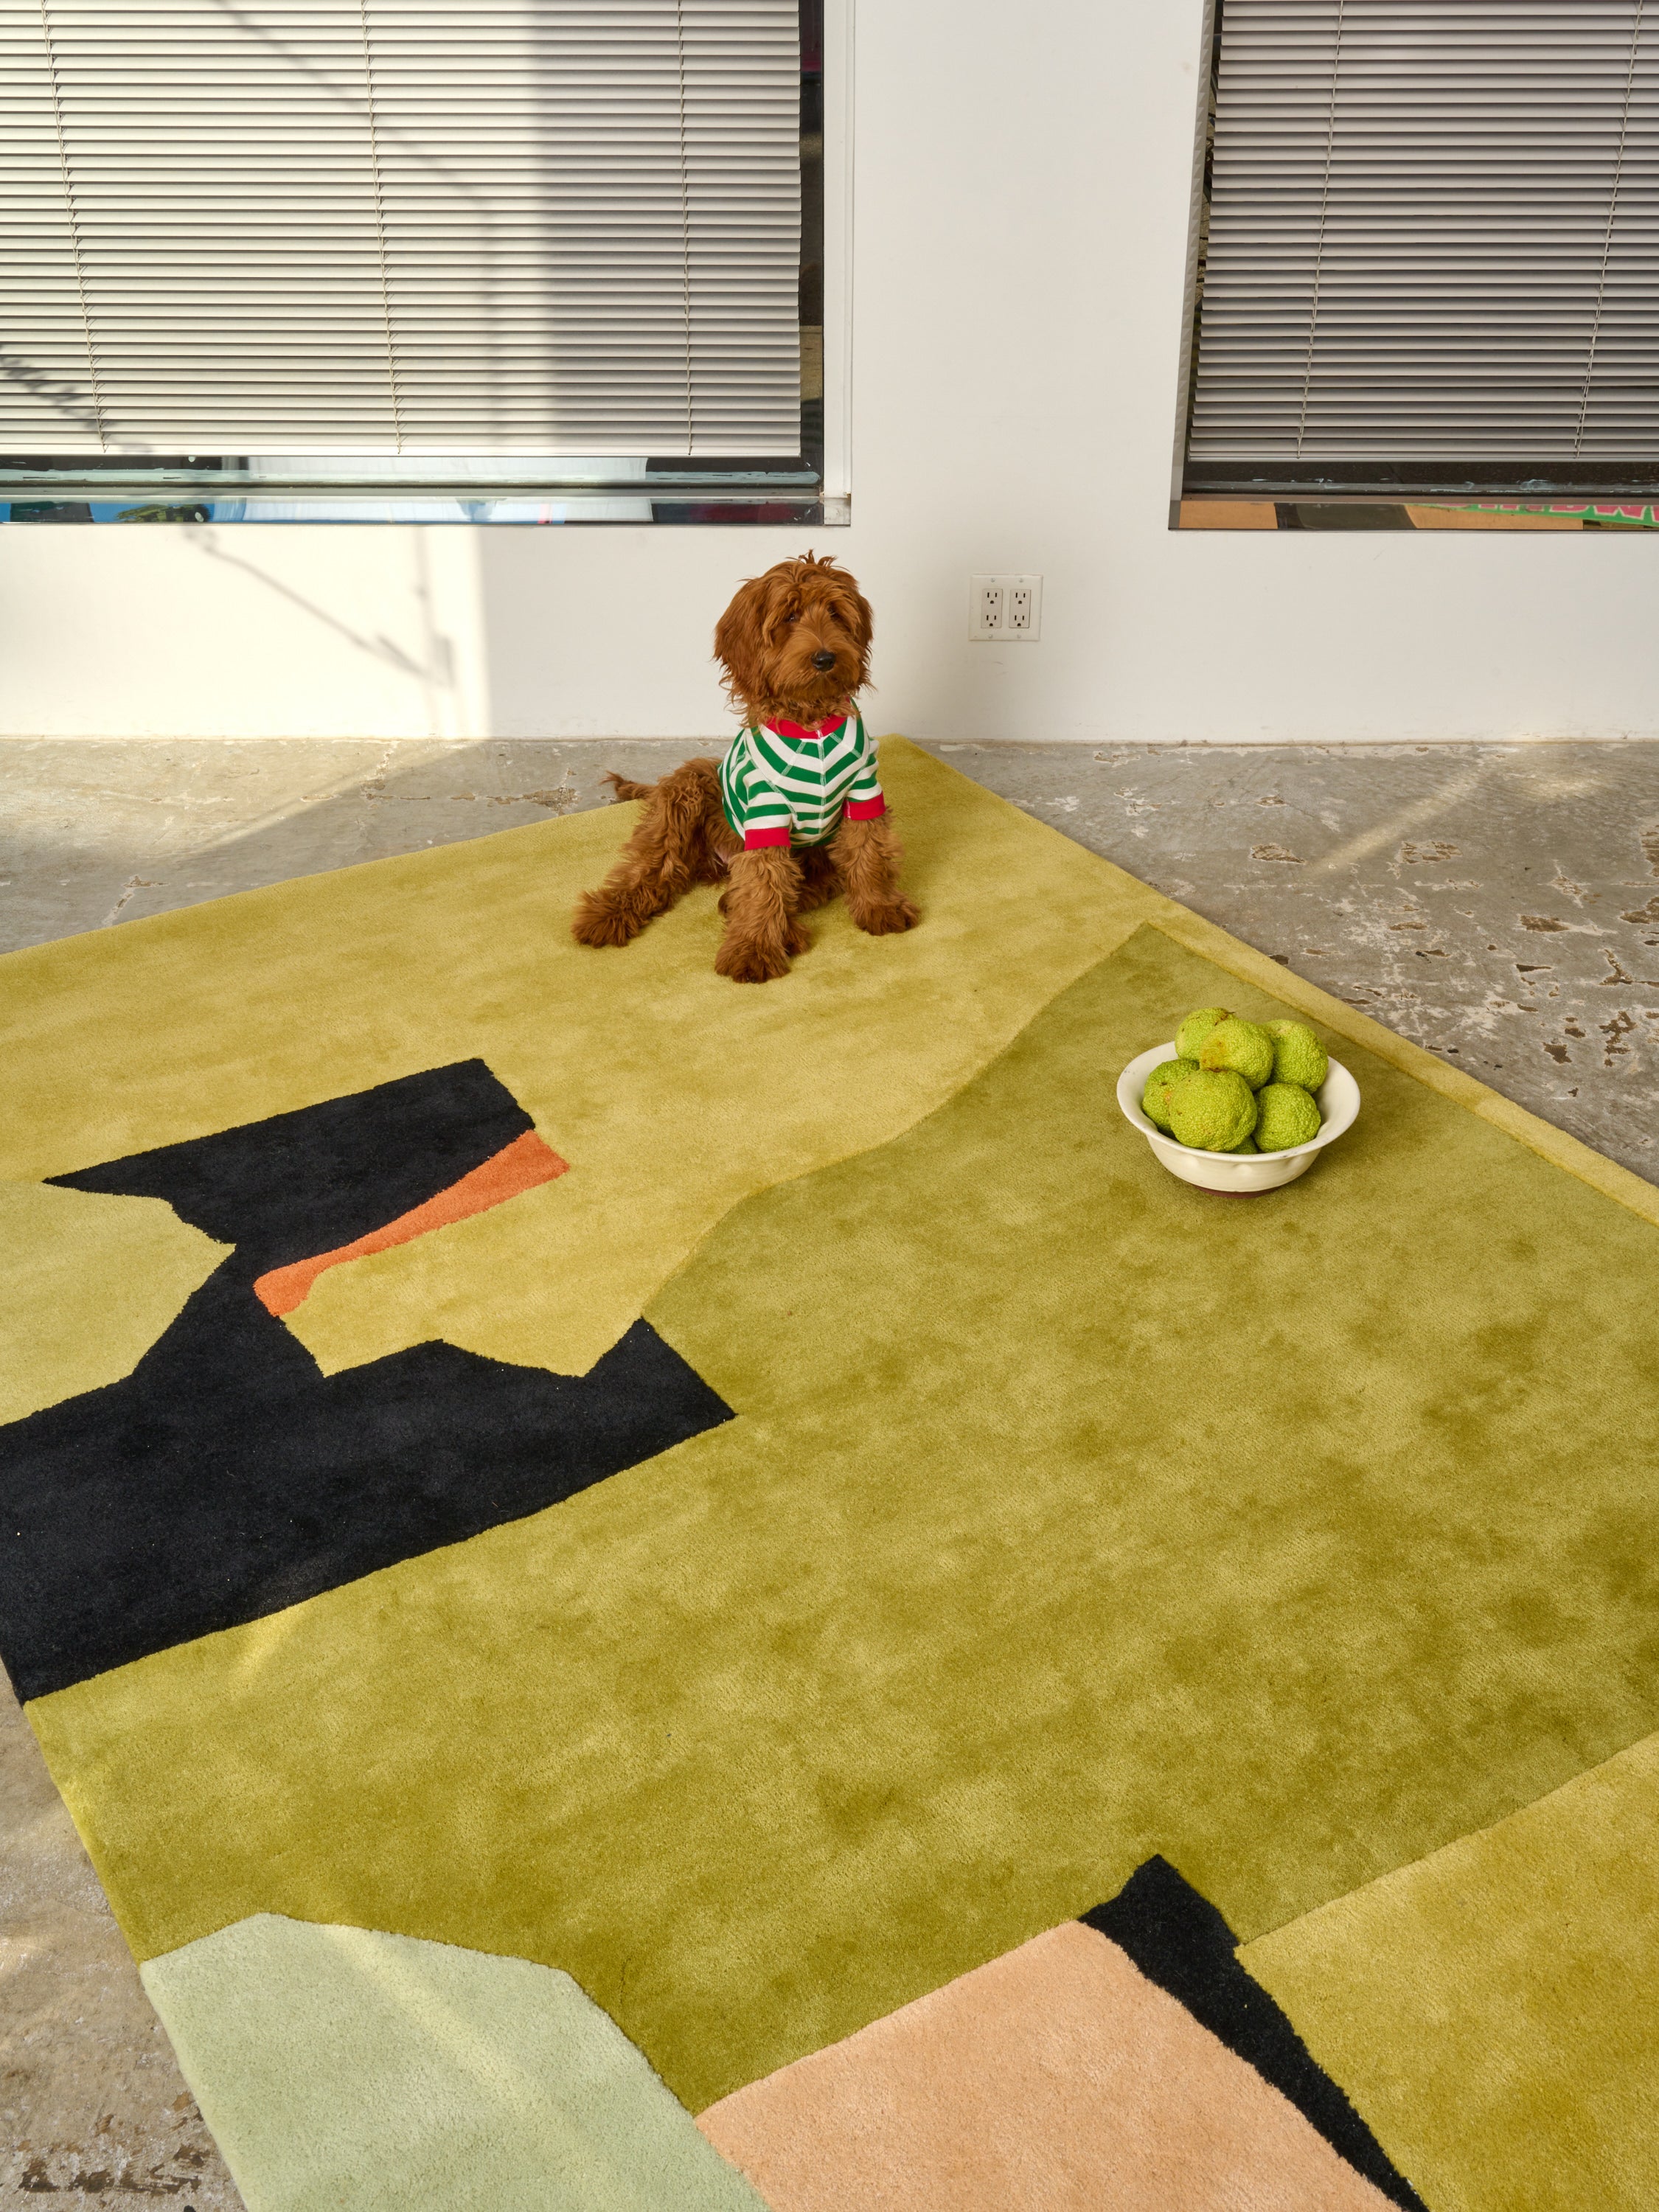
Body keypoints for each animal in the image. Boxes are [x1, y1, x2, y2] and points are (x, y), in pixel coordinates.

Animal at [571, 551, 911, 978]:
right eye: (790, 616)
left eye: (835, 613)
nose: (825, 658)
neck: (811, 726)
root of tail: (714, 865)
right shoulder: (765, 814)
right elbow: (763, 884)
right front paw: (753, 949)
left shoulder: (863, 793)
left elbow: (869, 854)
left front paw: (880, 907)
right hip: (693, 787)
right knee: (654, 868)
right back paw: (609, 912)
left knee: (779, 886)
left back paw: (782, 925)